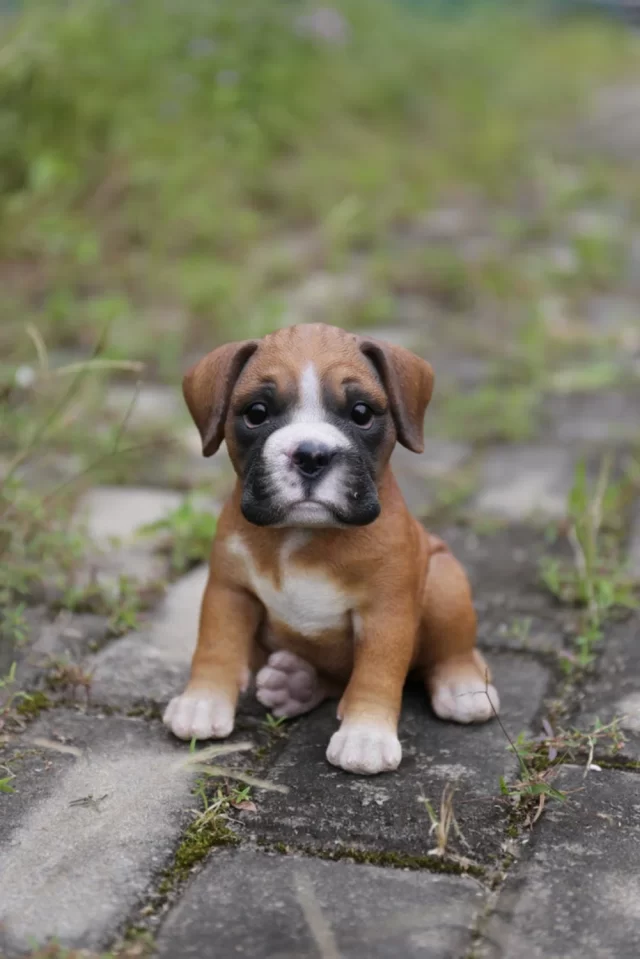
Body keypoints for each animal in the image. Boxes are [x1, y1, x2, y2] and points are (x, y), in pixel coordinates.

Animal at [162, 326, 498, 776]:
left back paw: (463, 686)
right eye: (256, 412)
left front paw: (366, 734)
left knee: (452, 650)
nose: (311, 454)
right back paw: (296, 684)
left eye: (361, 413)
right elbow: (216, 646)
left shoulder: (386, 613)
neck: (303, 533)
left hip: (445, 578)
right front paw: (202, 701)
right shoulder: (228, 593)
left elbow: (377, 672)